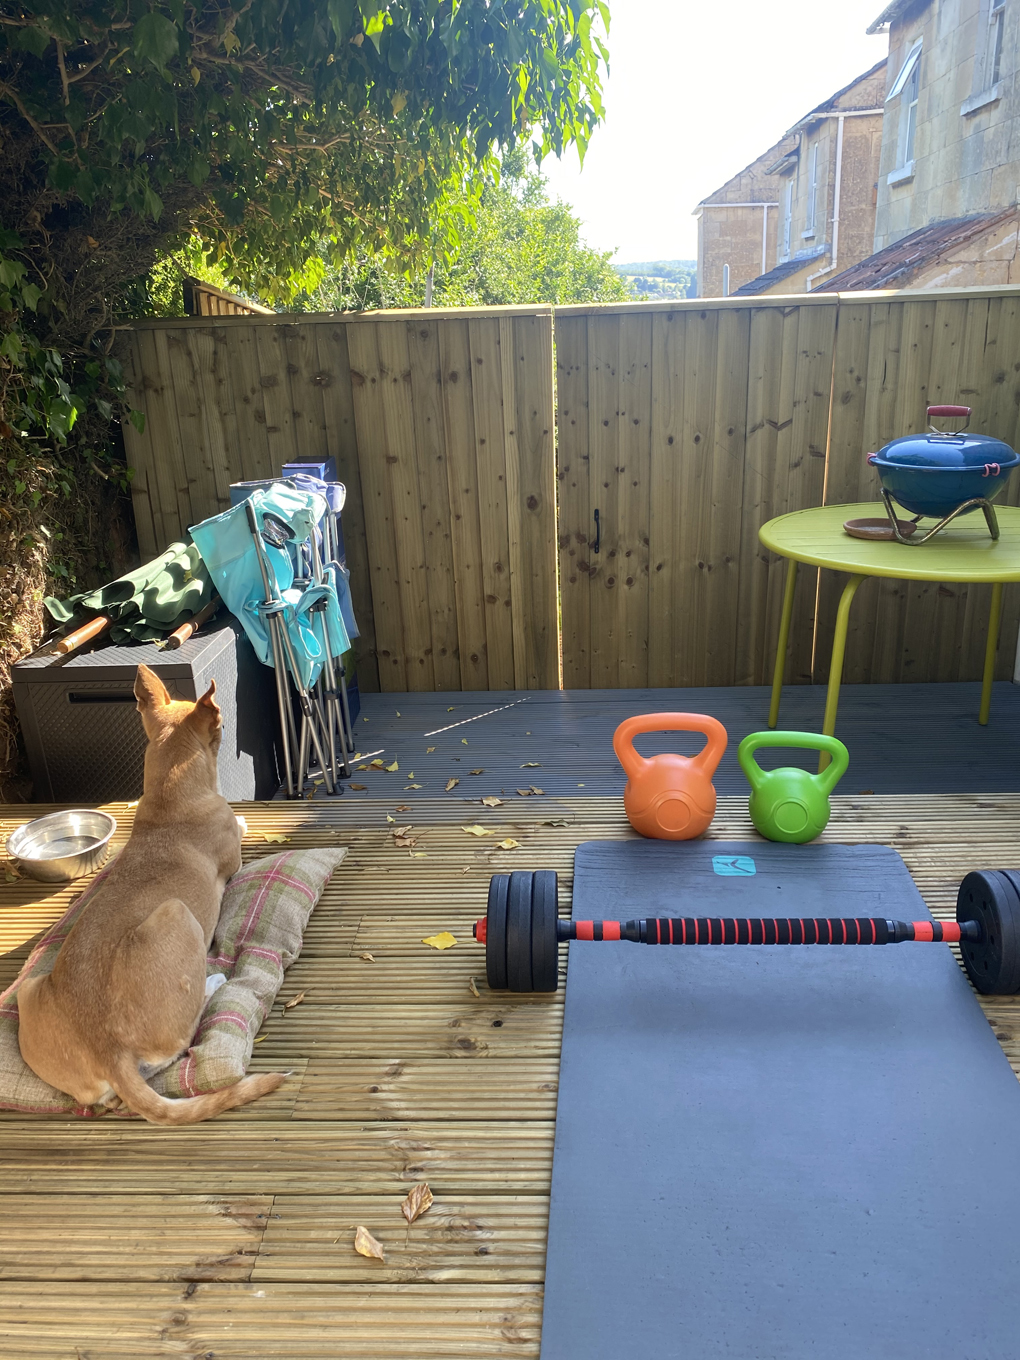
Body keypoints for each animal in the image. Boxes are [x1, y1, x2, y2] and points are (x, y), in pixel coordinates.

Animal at [17, 669, 288, 1126]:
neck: (169, 794)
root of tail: (109, 1051)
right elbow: (239, 827)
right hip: (178, 915)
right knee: (187, 1032)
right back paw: (213, 982)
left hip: (30, 988)